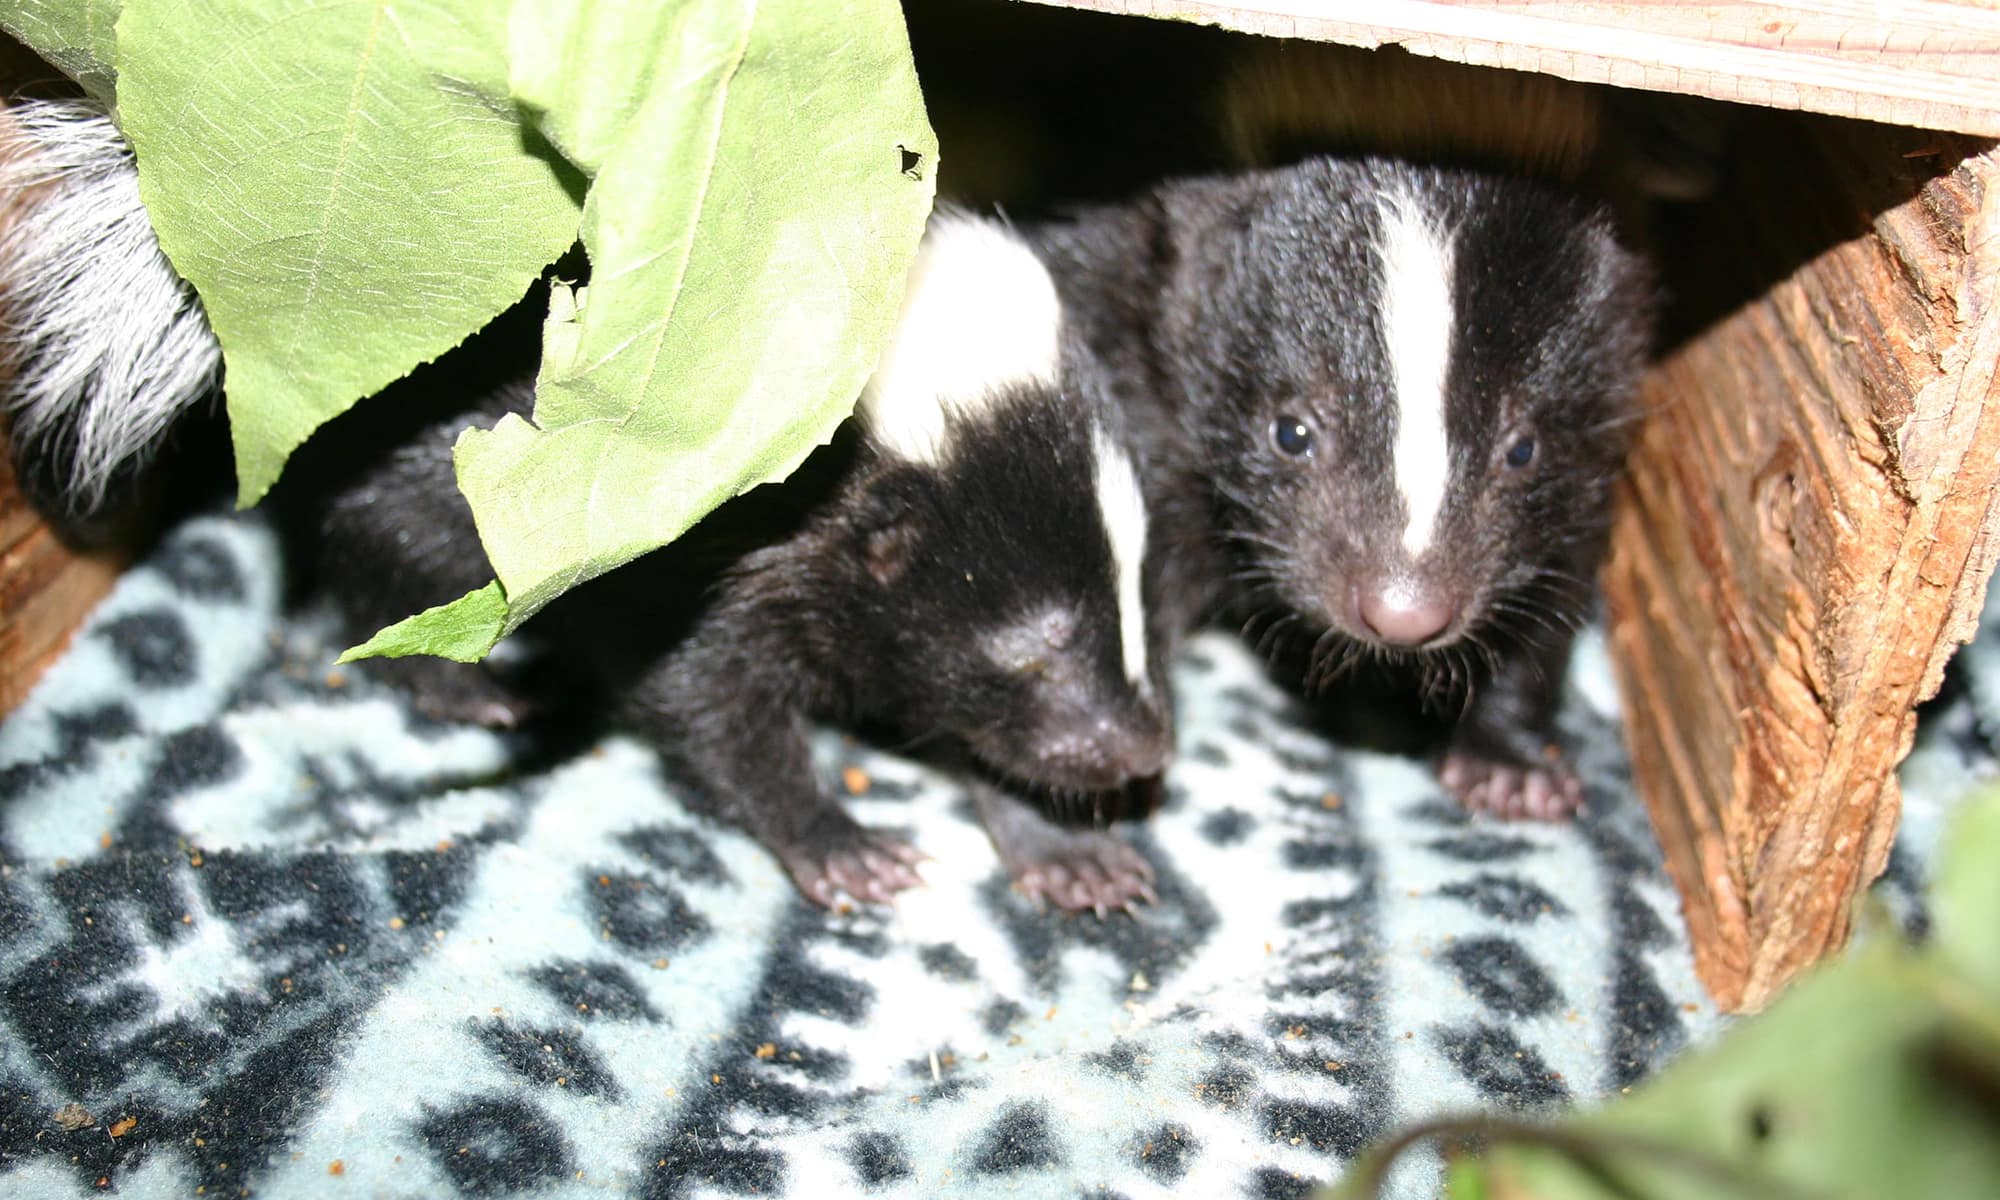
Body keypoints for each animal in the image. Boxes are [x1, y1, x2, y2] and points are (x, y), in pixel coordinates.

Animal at [1024, 44, 1648, 824]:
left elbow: (1553, 585)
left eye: (1523, 449)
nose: (1404, 609)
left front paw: (1508, 765)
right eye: (1291, 433)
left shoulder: (1605, 407)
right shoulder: (1139, 369)